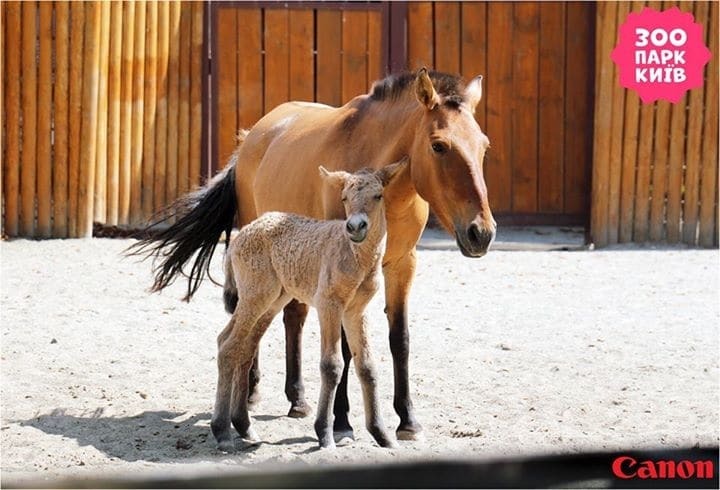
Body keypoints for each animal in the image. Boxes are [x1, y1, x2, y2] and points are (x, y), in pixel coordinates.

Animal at [211, 159, 408, 450]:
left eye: (378, 195)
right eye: (344, 197)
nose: (356, 227)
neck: (356, 259)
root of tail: (239, 235)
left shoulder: (356, 311)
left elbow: (367, 365)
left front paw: (382, 435)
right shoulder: (328, 304)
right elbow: (332, 364)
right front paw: (324, 432)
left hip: (272, 299)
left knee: (240, 345)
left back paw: (245, 427)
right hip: (255, 295)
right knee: (229, 346)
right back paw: (223, 432)